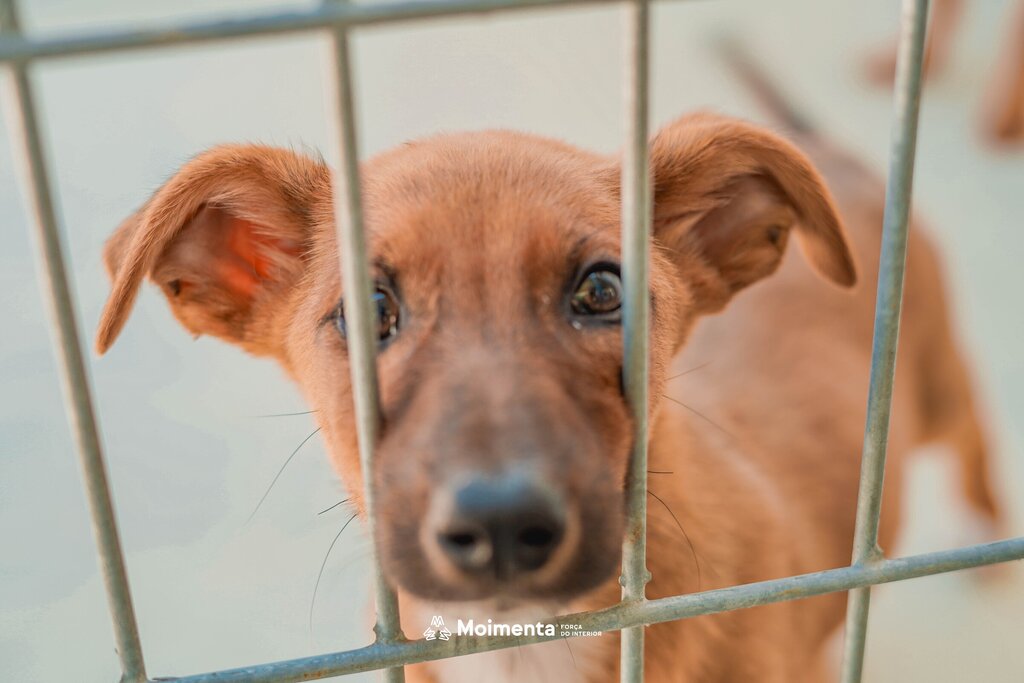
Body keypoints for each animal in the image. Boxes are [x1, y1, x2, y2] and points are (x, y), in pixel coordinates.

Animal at [94, 53, 1002, 682]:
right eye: (365, 310)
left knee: (977, 448)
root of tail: (840, 157)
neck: (529, 649)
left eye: (603, 290)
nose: (500, 525)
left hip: (939, 381)